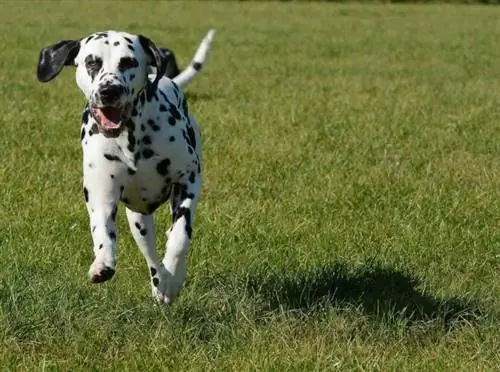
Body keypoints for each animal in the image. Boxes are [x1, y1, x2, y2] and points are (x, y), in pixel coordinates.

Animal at [35, 28, 215, 302]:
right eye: (92, 62)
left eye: (128, 62)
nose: (109, 90)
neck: (131, 138)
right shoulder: (101, 193)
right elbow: (101, 230)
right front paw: (102, 262)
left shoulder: (188, 180)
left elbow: (180, 236)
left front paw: (174, 278)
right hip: (139, 221)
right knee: (150, 255)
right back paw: (158, 281)